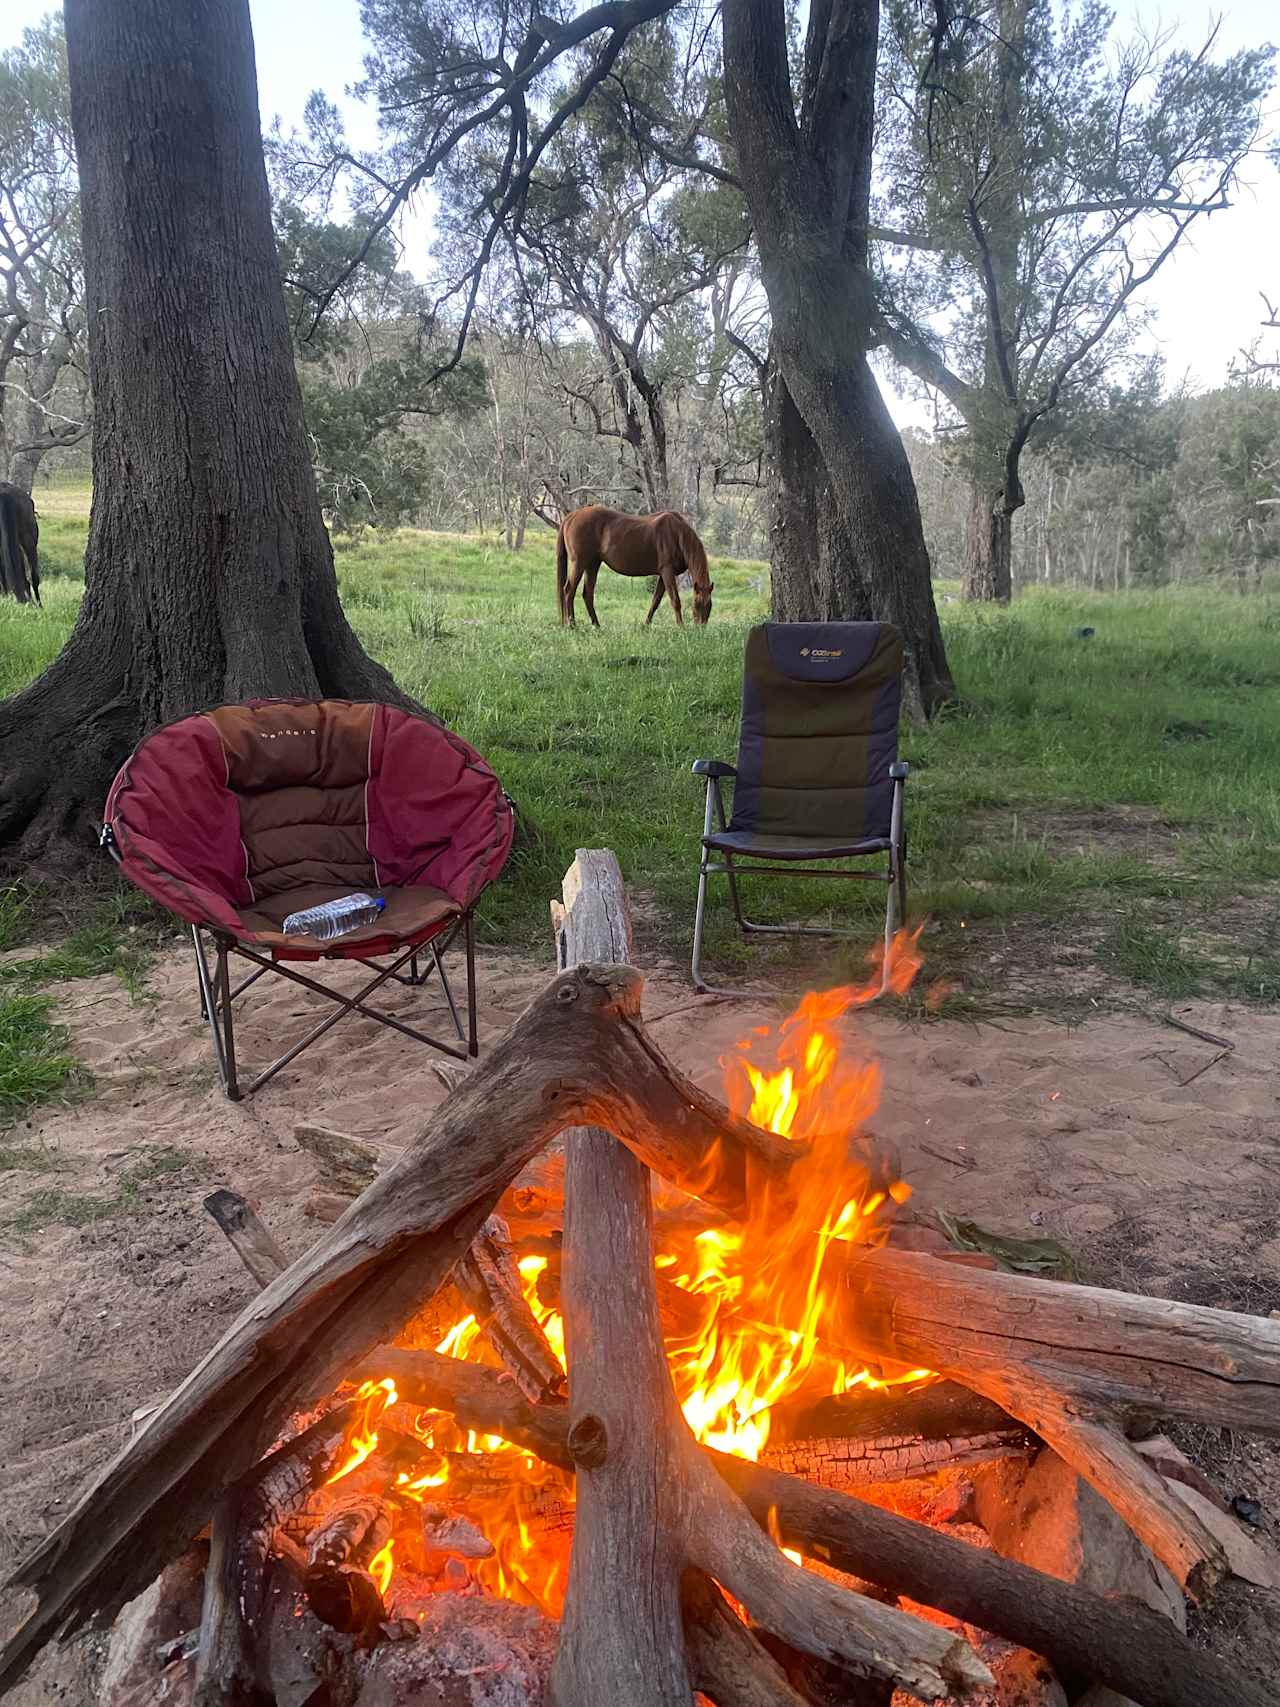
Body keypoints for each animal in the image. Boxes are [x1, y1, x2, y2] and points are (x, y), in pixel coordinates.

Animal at [559, 501, 716, 631]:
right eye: (696, 603)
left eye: (709, 605)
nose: (701, 629)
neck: (677, 533)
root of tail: (571, 516)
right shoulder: (667, 572)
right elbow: (675, 600)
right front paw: (681, 627)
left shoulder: (663, 575)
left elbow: (655, 601)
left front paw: (645, 625)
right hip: (579, 563)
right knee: (569, 590)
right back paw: (572, 625)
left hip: (592, 564)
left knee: (588, 594)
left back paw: (596, 625)